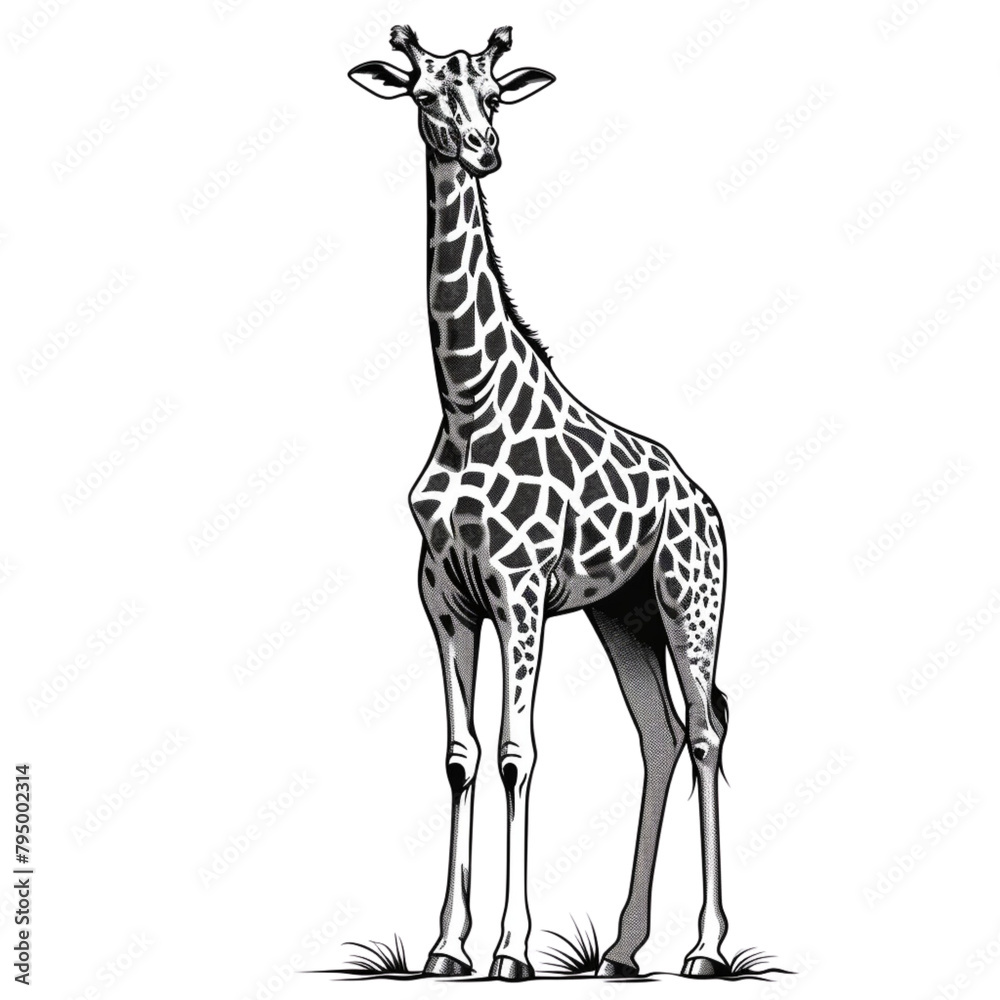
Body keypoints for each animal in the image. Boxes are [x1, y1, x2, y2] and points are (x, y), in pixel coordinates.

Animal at [349, 25, 732, 981]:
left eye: (492, 93)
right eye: (424, 93)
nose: (485, 148)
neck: (465, 403)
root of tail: (707, 502)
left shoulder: (519, 589)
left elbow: (518, 755)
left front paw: (511, 948)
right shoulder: (445, 599)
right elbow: (460, 758)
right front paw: (446, 948)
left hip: (688, 601)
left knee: (705, 733)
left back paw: (708, 947)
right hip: (622, 614)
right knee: (660, 735)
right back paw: (625, 948)